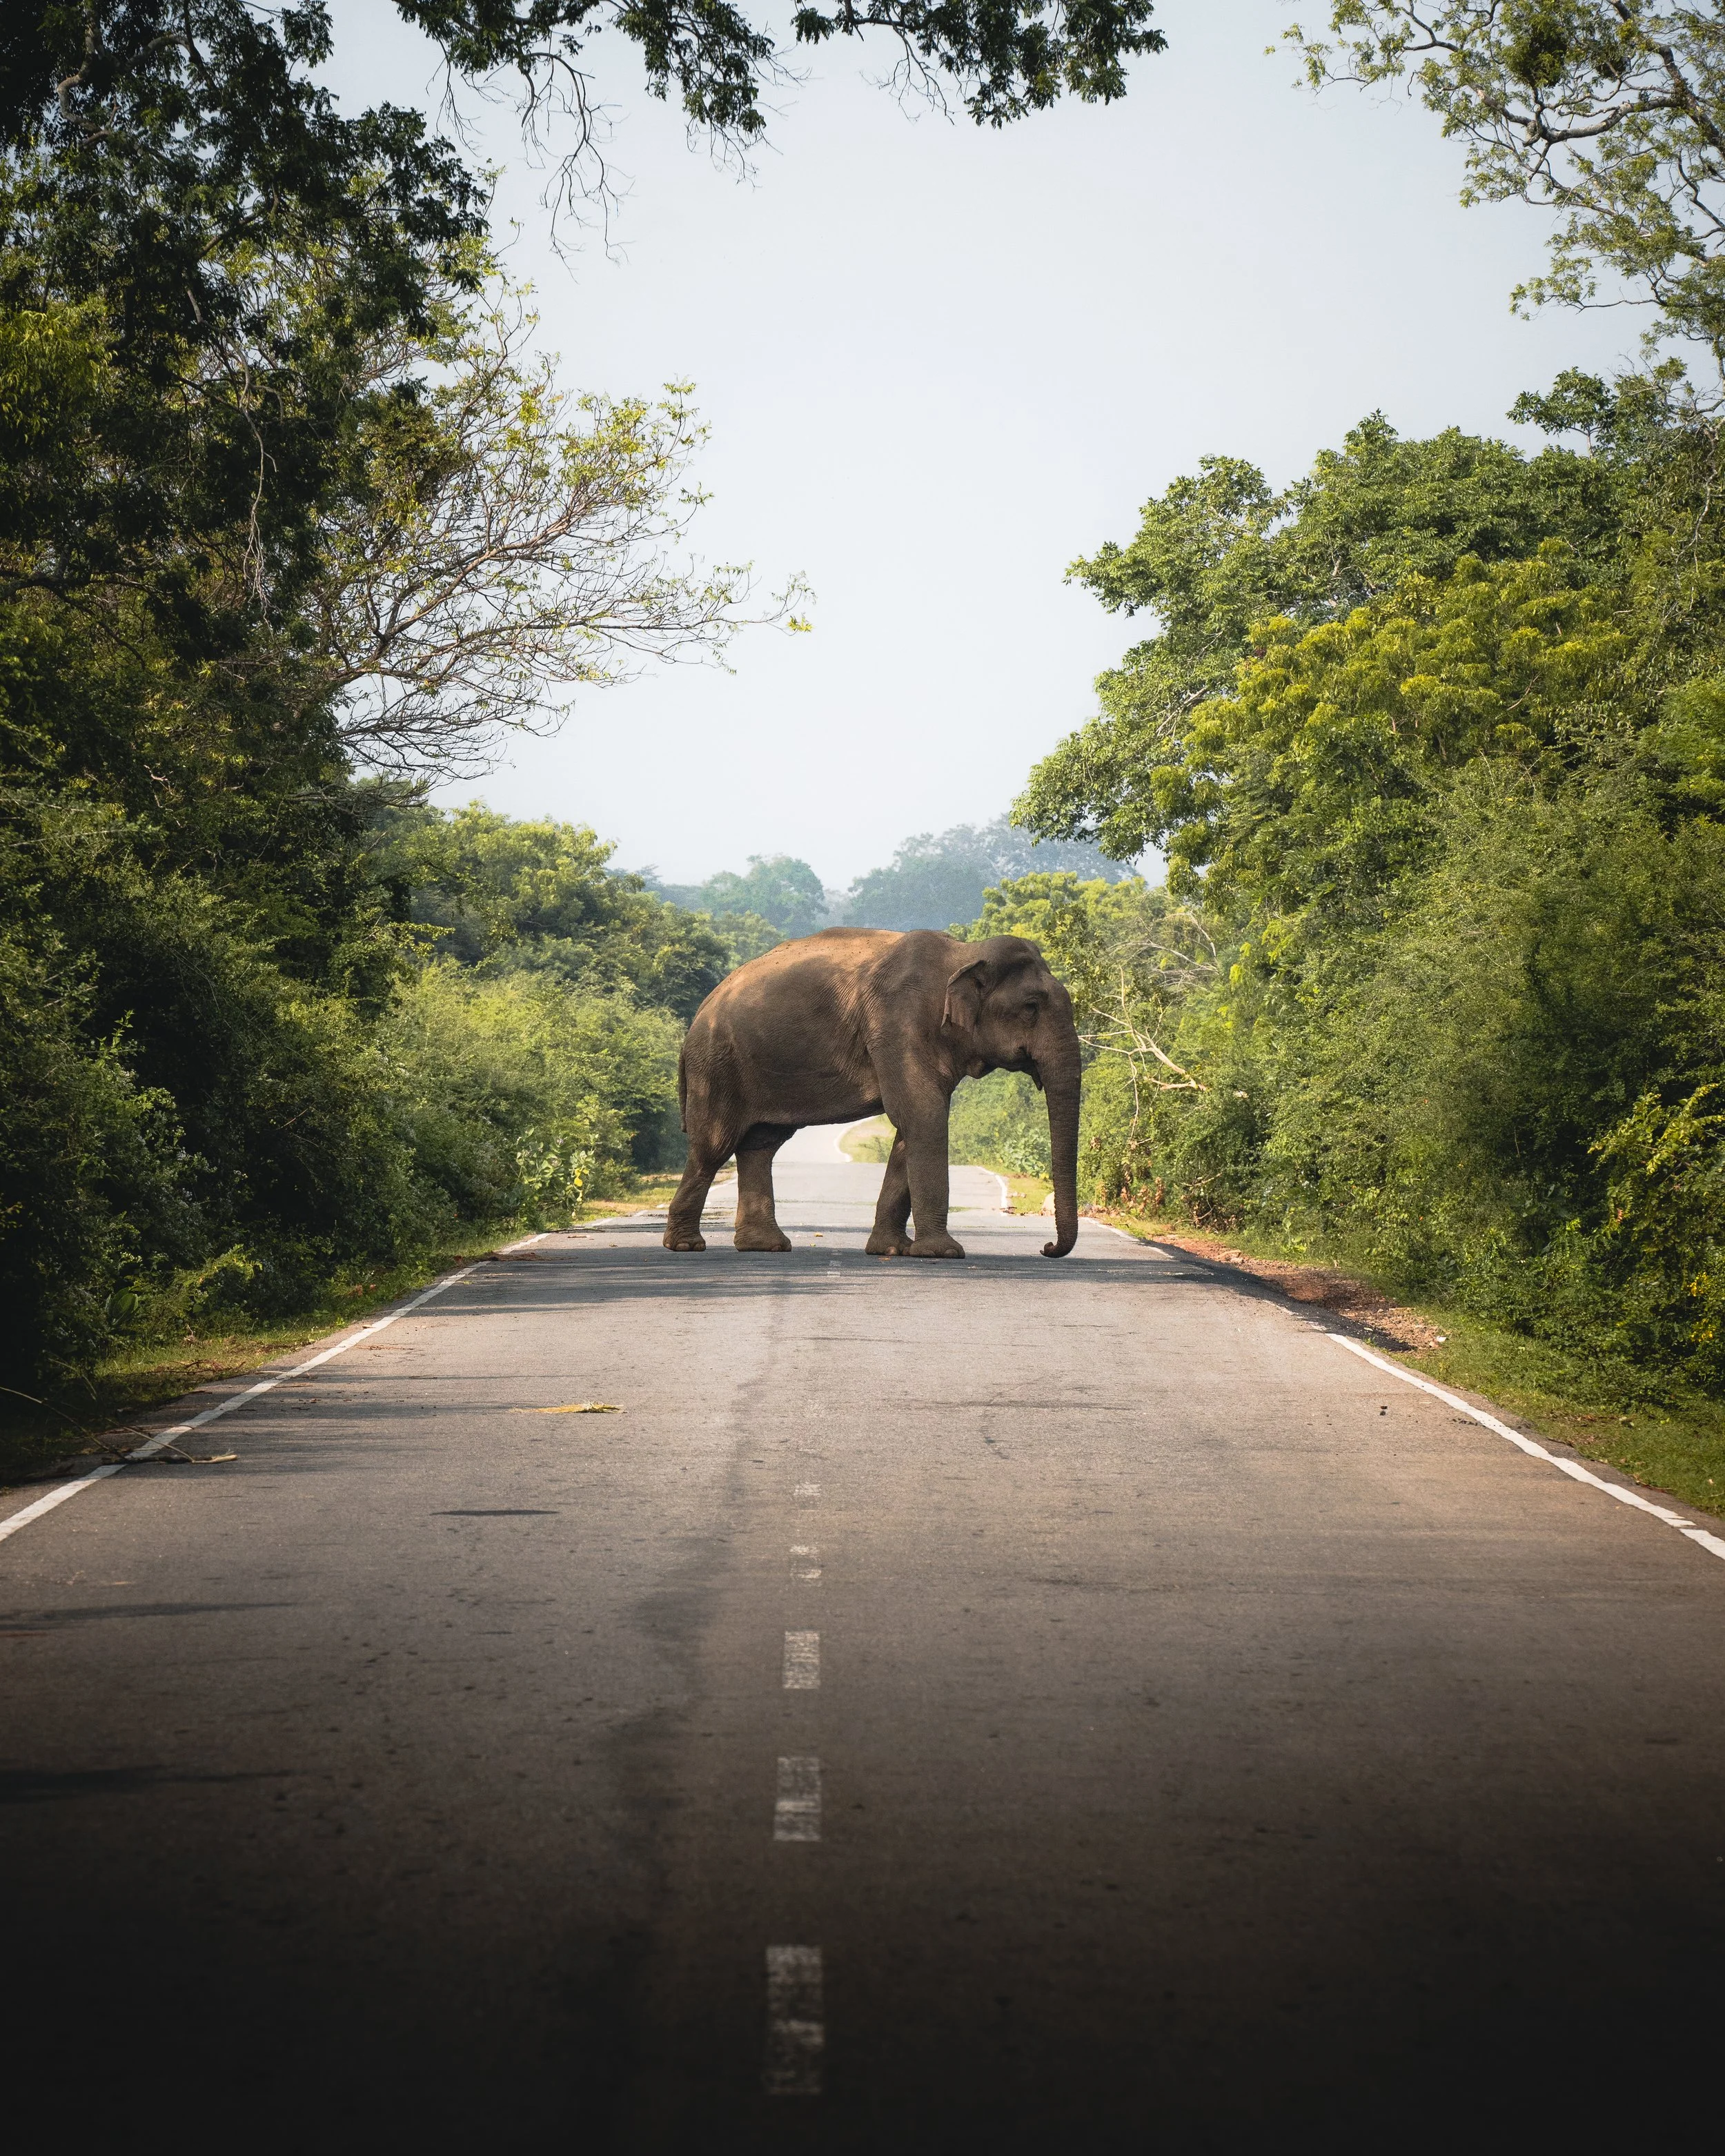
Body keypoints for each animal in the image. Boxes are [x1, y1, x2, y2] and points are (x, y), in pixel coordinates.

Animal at [663, 928, 1081, 1259]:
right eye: (1031, 1007)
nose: (1046, 1248)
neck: (962, 954)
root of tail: (697, 1018)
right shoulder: (898, 1025)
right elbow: (923, 1116)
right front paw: (942, 1253)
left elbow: (913, 1127)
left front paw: (892, 1251)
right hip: (717, 1066)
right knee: (713, 1147)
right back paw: (686, 1246)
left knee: (761, 1144)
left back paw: (765, 1247)